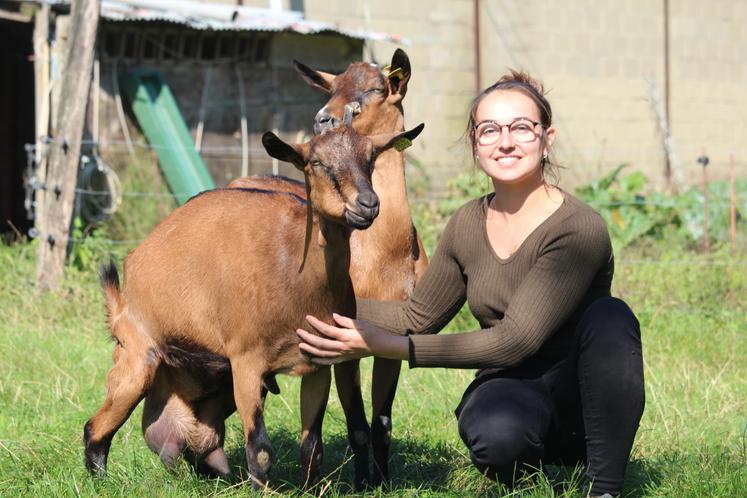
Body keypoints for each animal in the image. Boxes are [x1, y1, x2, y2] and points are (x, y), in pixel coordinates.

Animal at [83, 108, 426, 486]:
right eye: (316, 162)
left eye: (370, 157)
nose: (367, 204)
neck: (295, 271)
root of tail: (128, 279)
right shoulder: (246, 361)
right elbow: (259, 449)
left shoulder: (316, 363)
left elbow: (312, 447)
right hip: (138, 357)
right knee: (96, 428)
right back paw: (100, 481)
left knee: (196, 443)